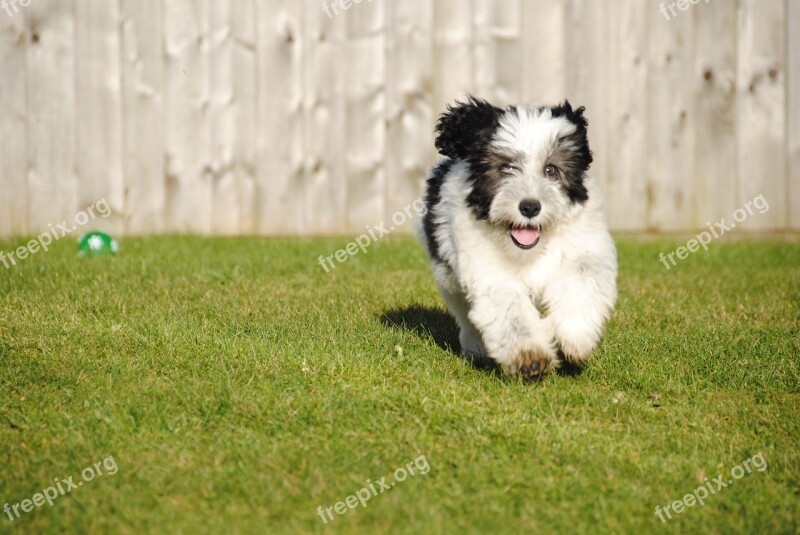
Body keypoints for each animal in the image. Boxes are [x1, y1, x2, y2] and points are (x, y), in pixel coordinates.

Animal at [418, 96, 620, 382]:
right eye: (507, 168)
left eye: (551, 169)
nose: (530, 207)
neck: (531, 249)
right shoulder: (488, 269)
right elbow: (510, 308)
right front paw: (530, 356)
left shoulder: (586, 247)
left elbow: (582, 279)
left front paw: (576, 335)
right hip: (448, 279)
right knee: (465, 314)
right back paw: (475, 347)